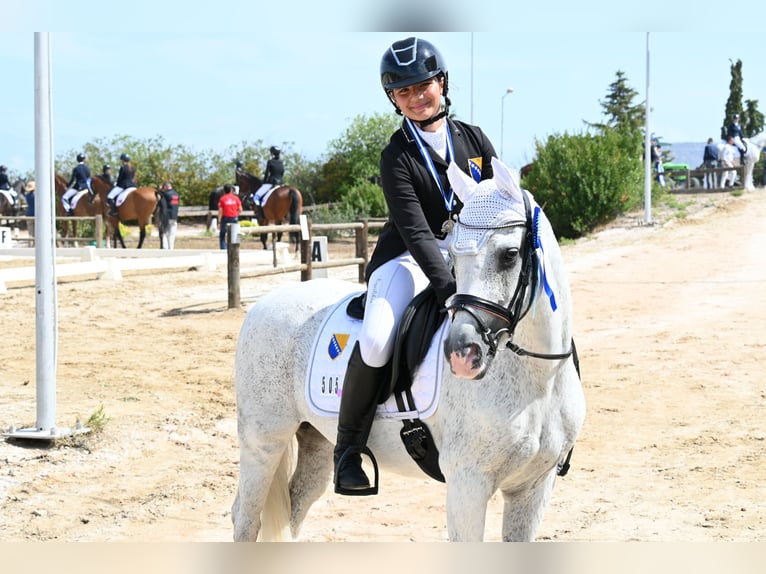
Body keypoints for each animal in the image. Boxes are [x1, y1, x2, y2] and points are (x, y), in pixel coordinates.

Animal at [231, 156, 586, 542]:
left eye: (509, 255)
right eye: (455, 259)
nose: (462, 354)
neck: (538, 379)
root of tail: (263, 303)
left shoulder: (534, 487)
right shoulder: (468, 484)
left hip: (315, 439)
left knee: (295, 505)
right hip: (263, 441)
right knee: (245, 516)